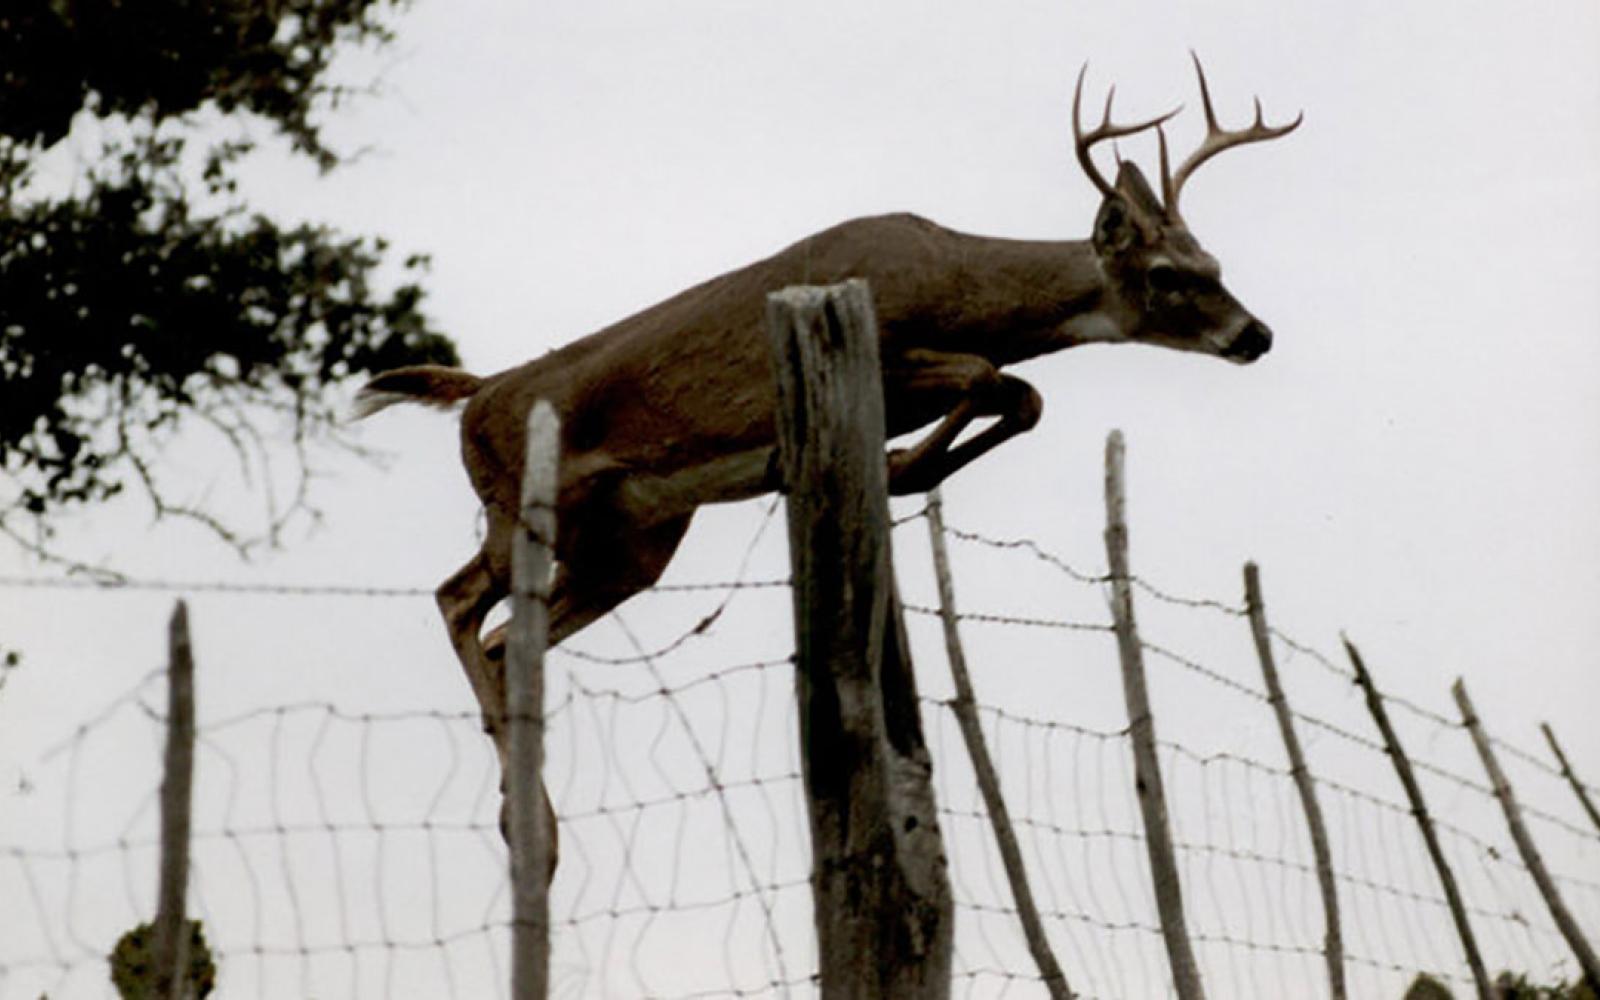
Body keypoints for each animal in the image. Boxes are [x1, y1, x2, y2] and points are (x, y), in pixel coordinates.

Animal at [355, 56, 1299, 872]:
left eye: (1215, 262)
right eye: (1169, 275)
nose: (1256, 334)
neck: (959, 283)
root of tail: (477, 395)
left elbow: (1023, 395)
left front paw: (904, 461)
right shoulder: (893, 351)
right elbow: (989, 376)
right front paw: (903, 461)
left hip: (635, 541)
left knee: (503, 632)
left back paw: (526, 823)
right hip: (528, 504)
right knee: (459, 602)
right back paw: (533, 833)